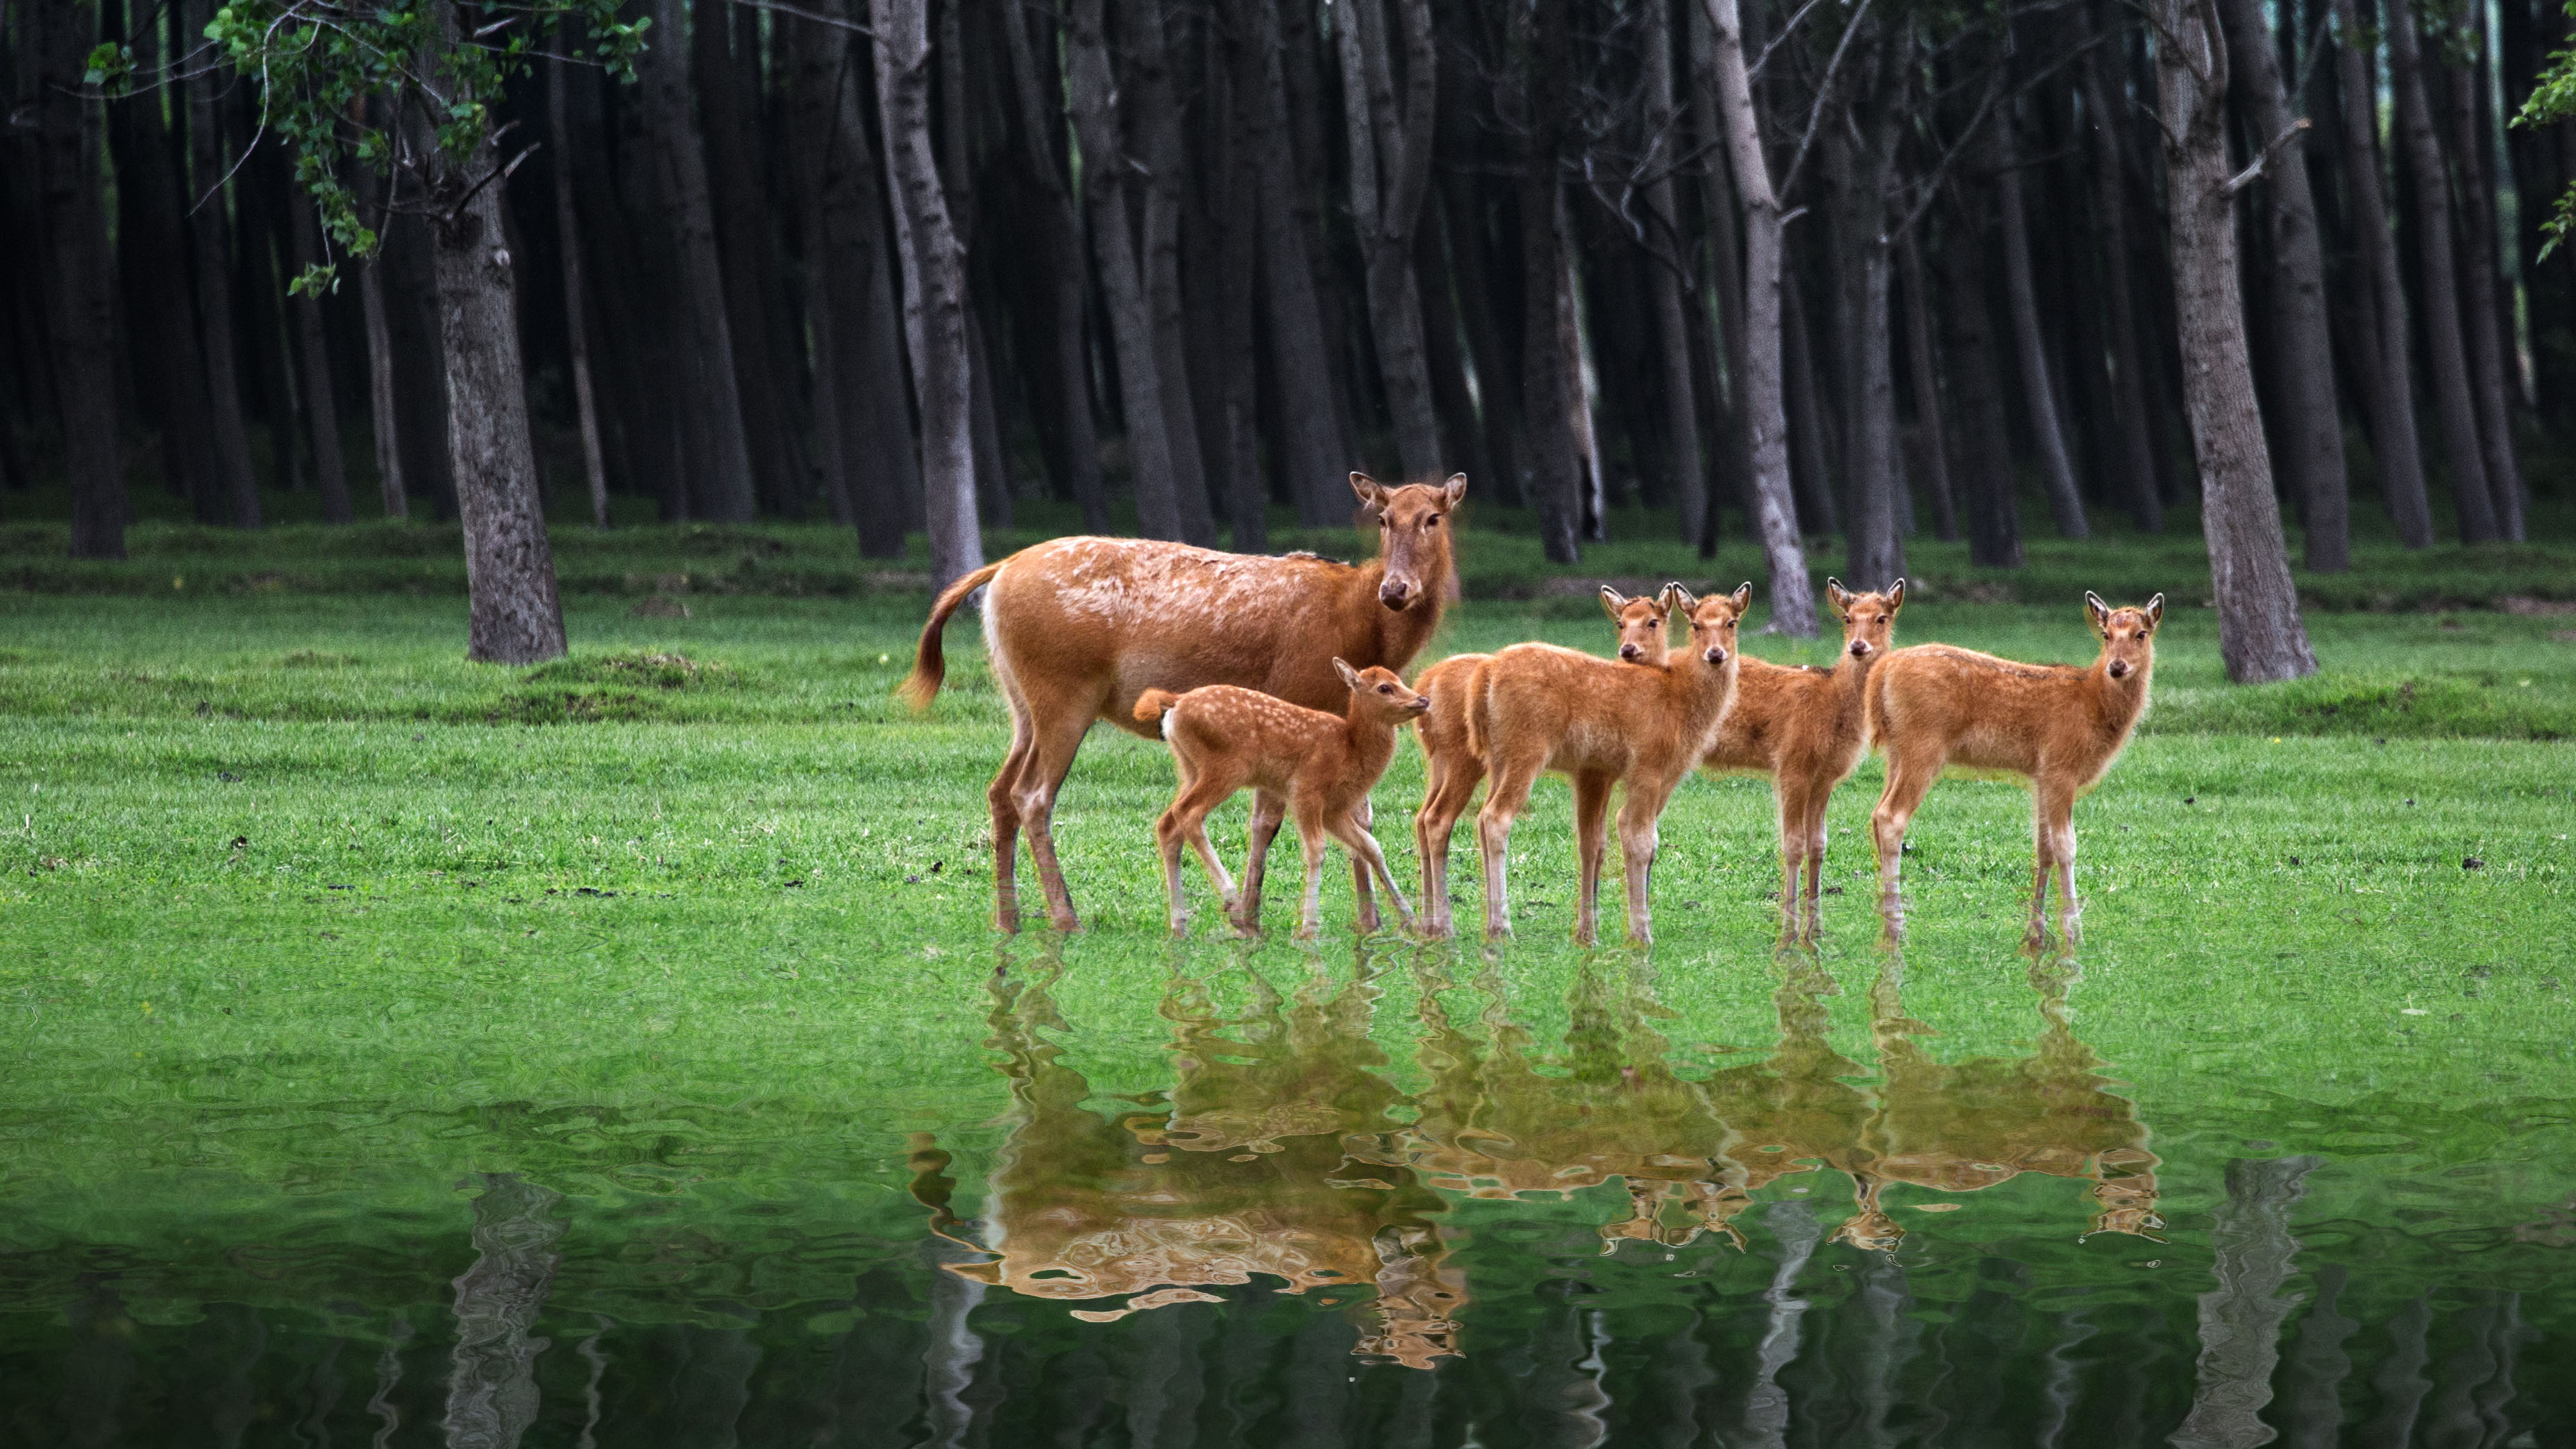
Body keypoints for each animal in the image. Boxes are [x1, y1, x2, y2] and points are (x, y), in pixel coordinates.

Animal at [901, 471, 1473, 936]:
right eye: (1383, 518)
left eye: (1433, 517)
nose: (1395, 589)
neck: (1362, 628)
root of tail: (999, 570)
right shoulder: (1296, 699)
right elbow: (1271, 820)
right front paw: (1254, 914)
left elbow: (1359, 816)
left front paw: (1370, 921)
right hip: (1062, 692)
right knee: (1034, 795)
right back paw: (1066, 918)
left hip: (1018, 701)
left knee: (1000, 791)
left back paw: (1009, 918)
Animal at [1411, 586, 1669, 942]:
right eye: (1621, 623)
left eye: (1652, 621)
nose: (1629, 650)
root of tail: (1426, 683)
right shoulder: (1604, 773)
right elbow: (1606, 843)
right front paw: (1597, 929)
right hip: (1470, 757)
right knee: (1446, 819)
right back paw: (1453, 926)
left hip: (1443, 760)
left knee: (1424, 817)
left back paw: (1429, 923)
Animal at [1473, 584, 1751, 947]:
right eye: (1696, 625)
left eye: (1732, 622)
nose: (1715, 654)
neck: (1681, 702)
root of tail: (1487, 675)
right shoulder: (1647, 765)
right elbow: (1637, 837)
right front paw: (1640, 933)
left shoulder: (1635, 775)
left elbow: (1632, 840)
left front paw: (1598, 933)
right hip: (1527, 749)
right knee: (1496, 817)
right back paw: (1502, 928)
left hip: (1497, 758)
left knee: (1480, 816)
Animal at [1700, 579, 1906, 942]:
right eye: (1848, 618)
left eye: (1882, 618)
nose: (1858, 646)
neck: (1833, 705)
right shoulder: (1791, 766)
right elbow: (1792, 844)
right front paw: (1788, 933)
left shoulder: (1825, 778)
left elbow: (1818, 844)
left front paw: (1816, 930)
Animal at [1864, 594, 2164, 947]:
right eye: (2106, 635)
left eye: (2141, 634)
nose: (2117, 667)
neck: (2092, 704)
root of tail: (1881, 672)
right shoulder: (2061, 767)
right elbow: (2066, 847)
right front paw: (2073, 932)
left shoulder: (2041, 778)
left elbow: (2043, 848)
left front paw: (2036, 932)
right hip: (1924, 745)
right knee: (1891, 817)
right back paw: (1898, 929)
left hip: (1897, 753)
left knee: (1875, 814)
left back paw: (1884, 926)